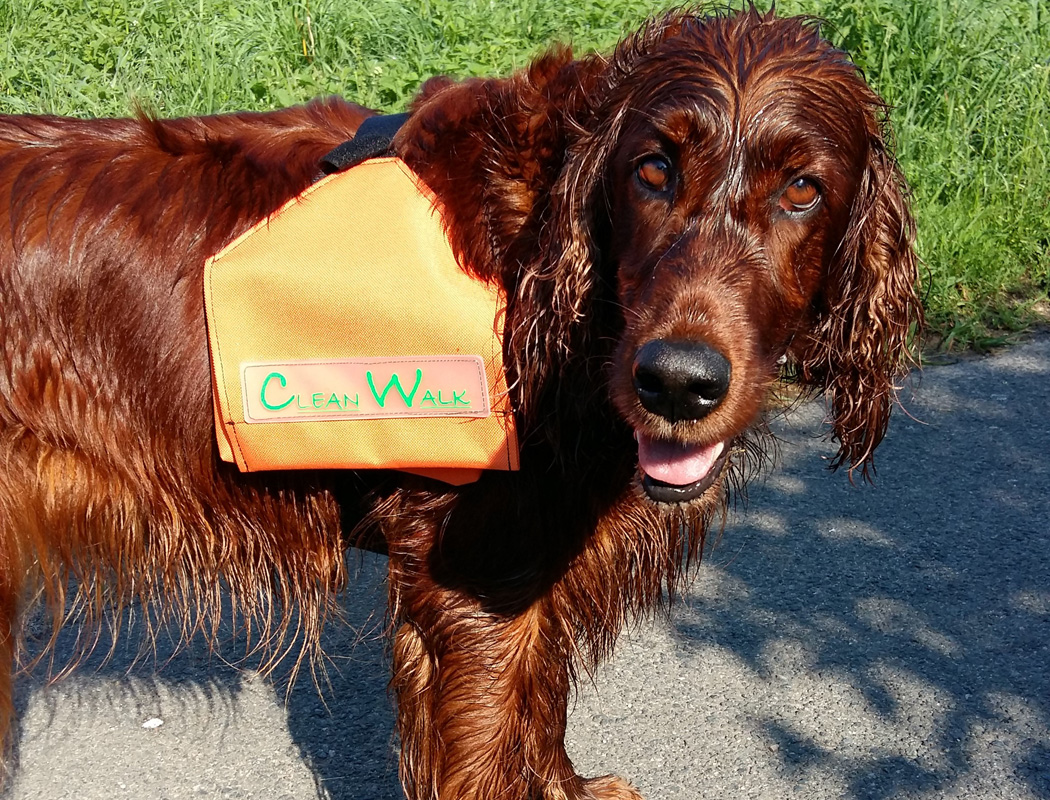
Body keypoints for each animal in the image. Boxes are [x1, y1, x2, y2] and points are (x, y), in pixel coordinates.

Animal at [0, 7, 919, 797]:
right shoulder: (474, 581)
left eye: (802, 189)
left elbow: (541, 705)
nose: (677, 382)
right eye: (653, 169)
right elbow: (488, 748)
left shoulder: (533, 568)